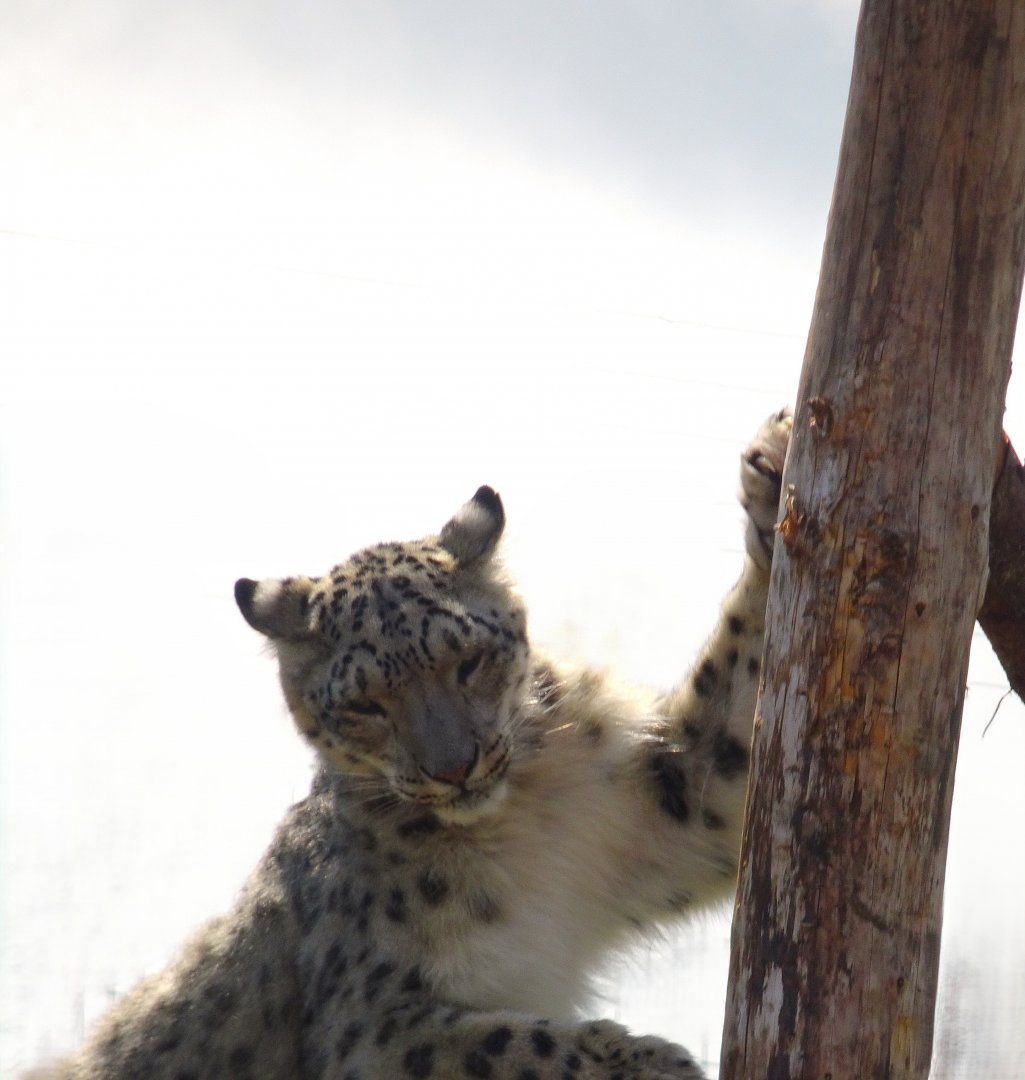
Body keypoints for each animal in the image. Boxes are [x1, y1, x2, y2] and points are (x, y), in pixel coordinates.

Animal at [25, 408, 792, 1080]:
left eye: (469, 660)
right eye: (365, 704)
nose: (455, 769)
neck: (517, 827)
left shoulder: (665, 803)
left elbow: (739, 723)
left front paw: (775, 464)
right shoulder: (370, 1020)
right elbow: (510, 1044)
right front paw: (653, 1062)